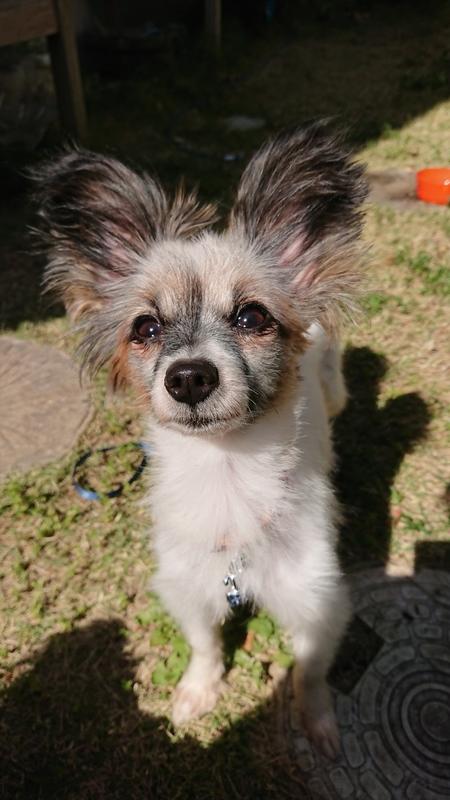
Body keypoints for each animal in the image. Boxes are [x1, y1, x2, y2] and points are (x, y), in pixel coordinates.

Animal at [36, 120, 366, 758]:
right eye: (145, 328)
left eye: (252, 318)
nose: (189, 376)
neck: (226, 474)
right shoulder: (186, 585)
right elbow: (205, 644)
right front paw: (197, 690)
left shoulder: (318, 600)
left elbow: (310, 672)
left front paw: (316, 721)